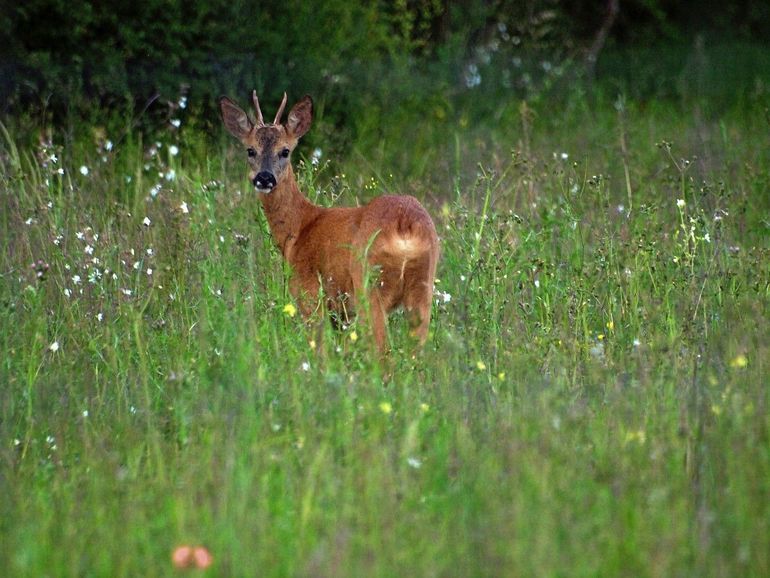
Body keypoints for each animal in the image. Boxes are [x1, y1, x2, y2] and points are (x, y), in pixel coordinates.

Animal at [219, 91, 440, 352]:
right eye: (250, 150)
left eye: (285, 151)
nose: (264, 178)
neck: (300, 228)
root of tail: (405, 224)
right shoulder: (341, 312)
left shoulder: (309, 292)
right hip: (423, 287)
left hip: (369, 285)